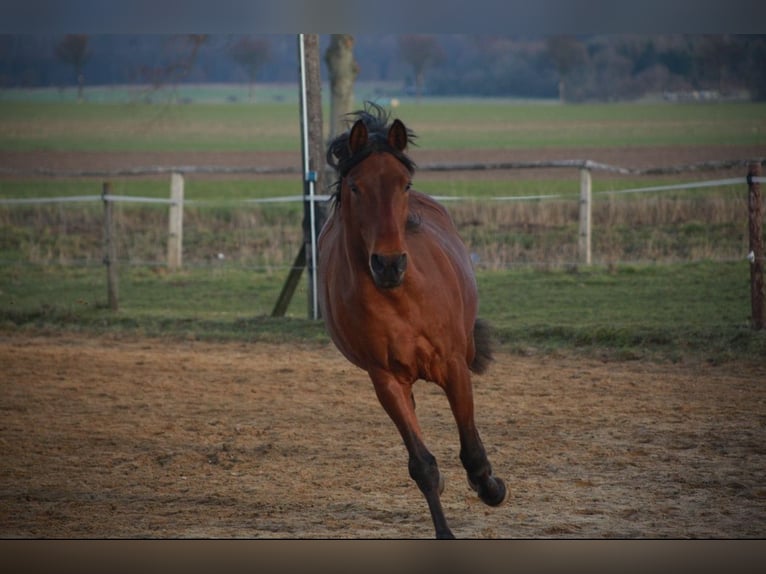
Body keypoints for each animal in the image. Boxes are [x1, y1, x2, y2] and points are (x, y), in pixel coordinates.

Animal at [316, 103, 508, 540]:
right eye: (356, 187)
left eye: (403, 184)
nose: (389, 263)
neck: (399, 298)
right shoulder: (386, 380)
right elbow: (421, 464)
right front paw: (444, 530)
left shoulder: (453, 365)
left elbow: (472, 451)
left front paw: (492, 489)